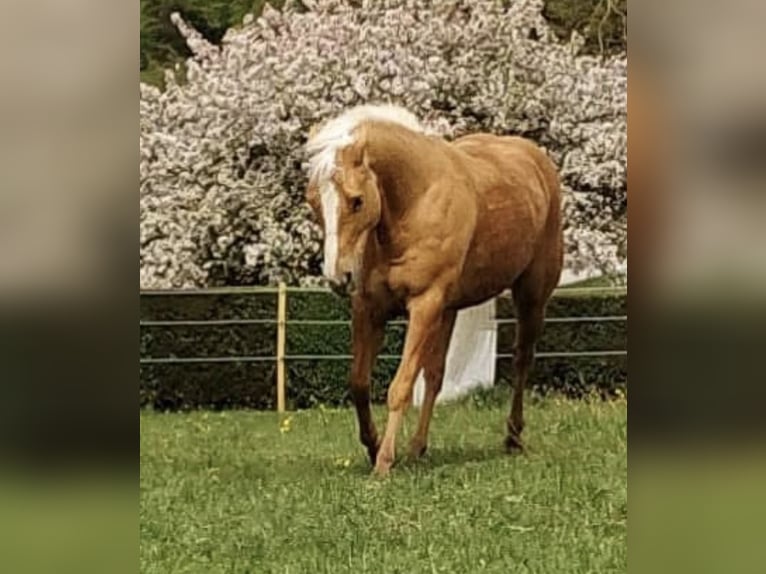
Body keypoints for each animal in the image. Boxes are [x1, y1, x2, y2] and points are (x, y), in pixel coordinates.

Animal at [305, 105, 563, 476]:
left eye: (356, 201)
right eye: (313, 202)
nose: (338, 278)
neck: (415, 201)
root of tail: (536, 160)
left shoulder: (423, 306)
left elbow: (400, 386)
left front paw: (383, 463)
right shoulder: (369, 309)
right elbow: (360, 383)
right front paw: (373, 445)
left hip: (531, 296)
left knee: (520, 361)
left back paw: (513, 438)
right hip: (450, 310)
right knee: (435, 376)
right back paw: (417, 448)